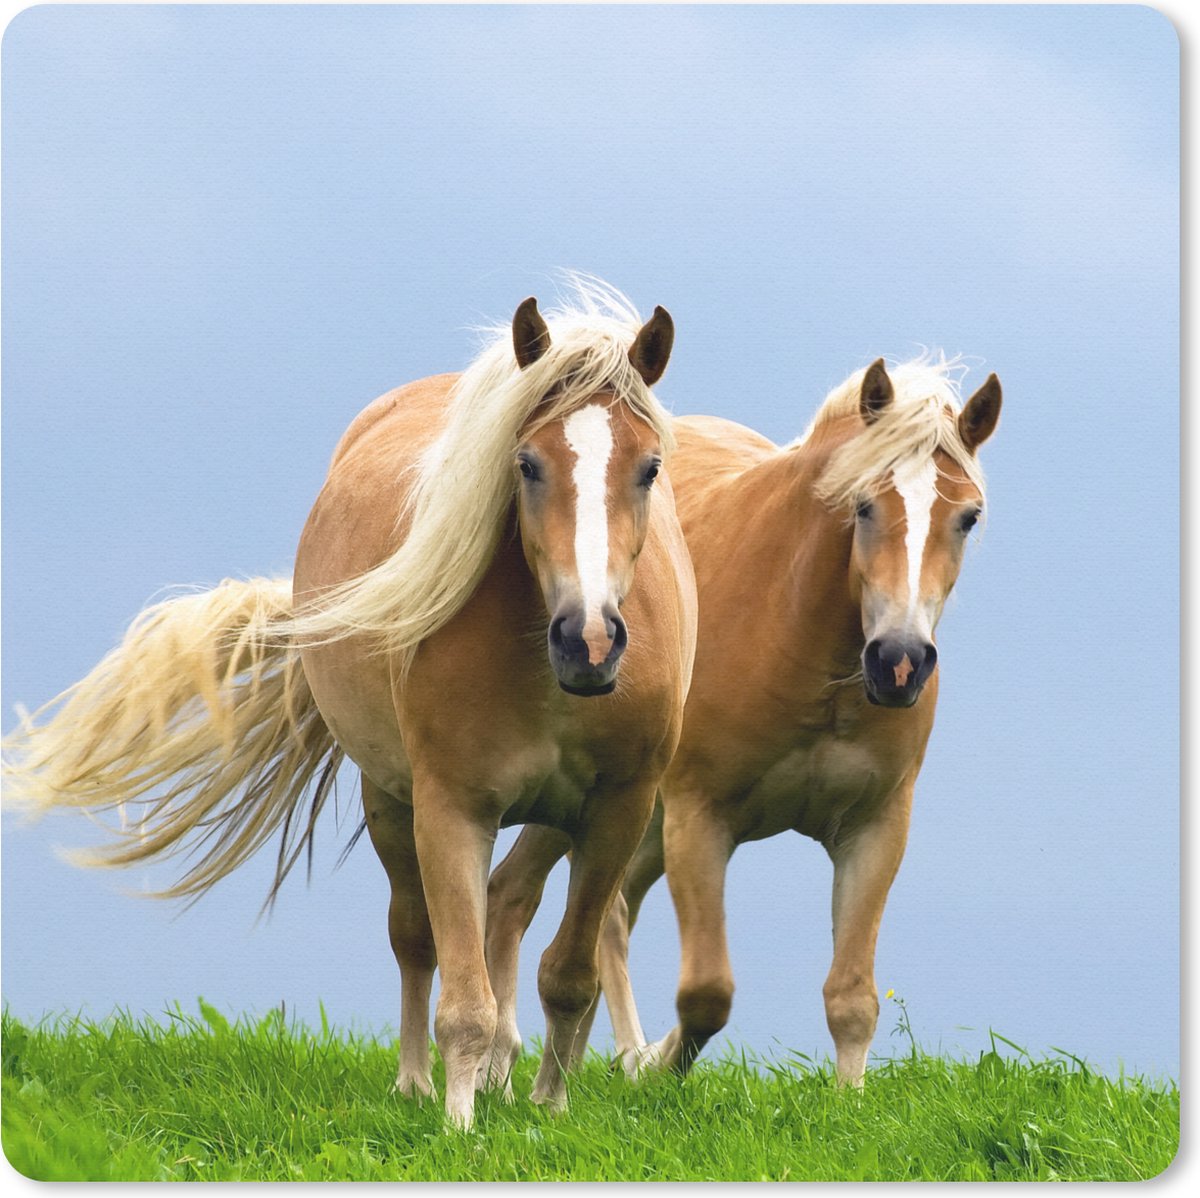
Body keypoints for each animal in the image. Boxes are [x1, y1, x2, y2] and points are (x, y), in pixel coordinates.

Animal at [2, 281, 698, 1130]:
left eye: (649, 467)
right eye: (527, 464)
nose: (589, 640)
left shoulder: (616, 813)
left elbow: (569, 976)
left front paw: (550, 1111)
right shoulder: (450, 807)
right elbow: (460, 994)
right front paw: (460, 1127)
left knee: (504, 914)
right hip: (389, 799)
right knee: (416, 938)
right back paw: (419, 1083)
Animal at [484, 354, 1001, 1087]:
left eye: (968, 517)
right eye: (863, 505)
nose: (899, 662)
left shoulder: (876, 828)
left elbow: (852, 998)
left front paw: (848, 1097)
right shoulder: (700, 818)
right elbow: (707, 992)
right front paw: (655, 1065)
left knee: (577, 906)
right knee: (537, 902)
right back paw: (542, 1060)